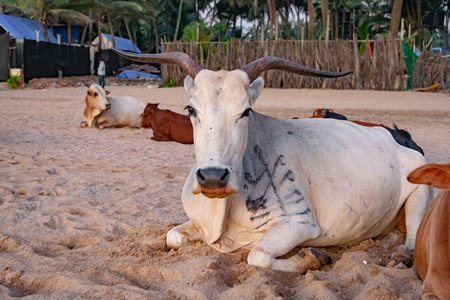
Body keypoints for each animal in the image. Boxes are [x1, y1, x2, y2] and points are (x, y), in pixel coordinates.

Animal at [113, 49, 432, 274]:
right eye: (191, 109)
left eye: (246, 111)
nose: (214, 177)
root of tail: (398, 136)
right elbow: (172, 237)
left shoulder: (300, 225)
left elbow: (257, 256)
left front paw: (314, 257)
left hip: (420, 192)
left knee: (414, 241)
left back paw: (400, 257)